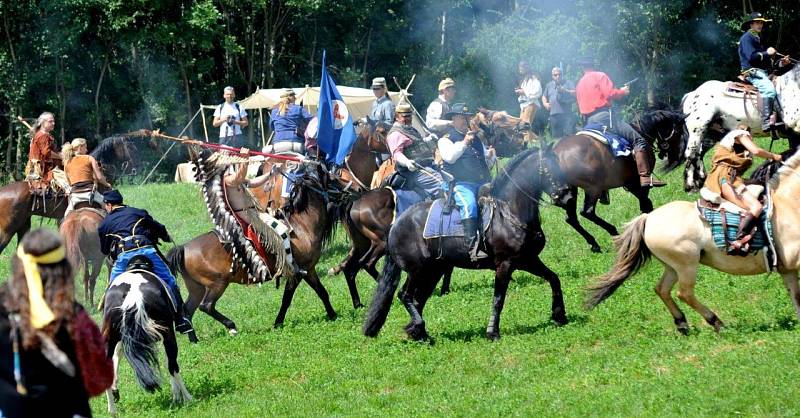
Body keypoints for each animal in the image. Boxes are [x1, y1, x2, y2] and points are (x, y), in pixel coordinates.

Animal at [362, 145, 576, 342]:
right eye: (548, 168)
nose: (568, 197)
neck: (509, 213)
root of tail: (396, 224)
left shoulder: (528, 260)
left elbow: (554, 278)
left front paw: (559, 315)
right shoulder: (504, 265)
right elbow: (498, 299)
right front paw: (492, 332)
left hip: (433, 271)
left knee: (417, 299)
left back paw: (419, 333)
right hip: (417, 270)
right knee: (405, 295)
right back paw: (418, 328)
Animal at [584, 146, 800, 334]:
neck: (787, 205)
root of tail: (648, 218)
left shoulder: (787, 269)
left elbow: (795, 296)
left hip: (672, 266)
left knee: (662, 289)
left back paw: (682, 323)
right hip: (687, 264)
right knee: (684, 294)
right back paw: (716, 322)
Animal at [680, 64, 800, 192]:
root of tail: (691, 94)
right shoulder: (794, 133)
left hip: (711, 134)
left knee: (699, 154)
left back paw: (701, 180)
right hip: (697, 131)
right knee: (690, 154)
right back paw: (691, 185)